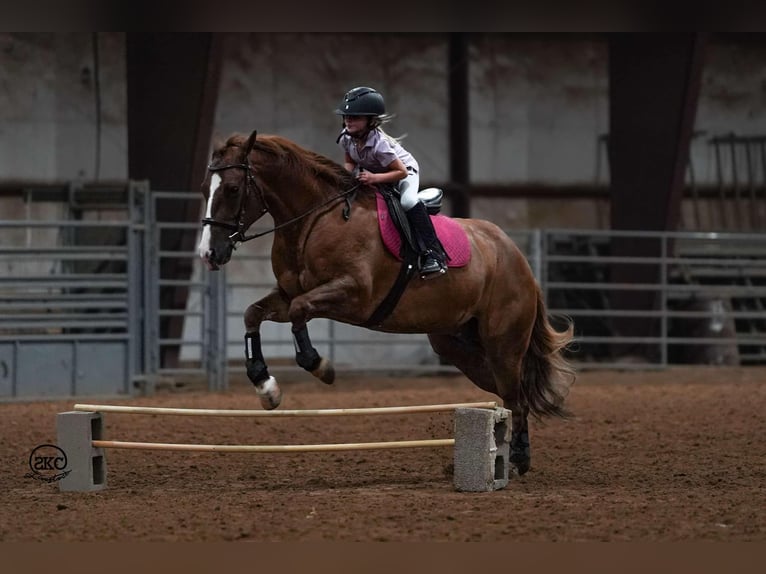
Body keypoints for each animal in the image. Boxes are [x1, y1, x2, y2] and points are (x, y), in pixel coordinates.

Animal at [198, 130, 576, 476]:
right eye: (205, 189)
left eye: (232, 189)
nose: (209, 253)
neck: (313, 221)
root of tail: (515, 256)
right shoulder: (288, 293)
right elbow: (254, 314)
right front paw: (266, 386)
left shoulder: (353, 294)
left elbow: (299, 311)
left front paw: (320, 365)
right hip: (458, 345)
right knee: (510, 393)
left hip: (503, 343)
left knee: (516, 395)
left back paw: (519, 459)